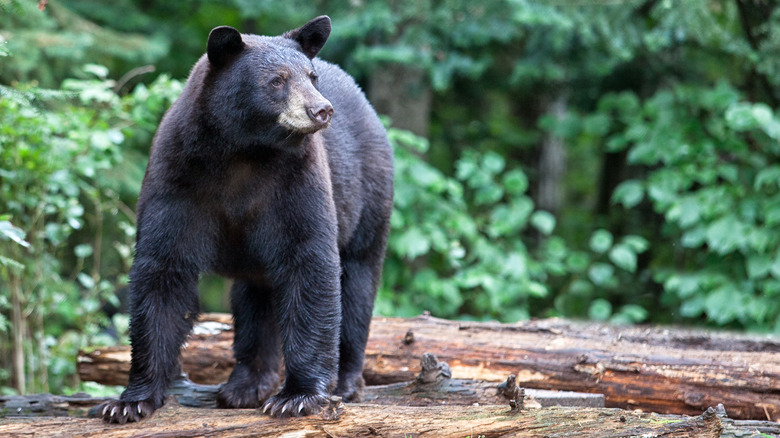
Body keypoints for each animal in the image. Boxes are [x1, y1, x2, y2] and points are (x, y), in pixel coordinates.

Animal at [102, 15, 396, 422]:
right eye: (276, 80)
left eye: (312, 76)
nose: (321, 110)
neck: (244, 152)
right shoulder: (177, 178)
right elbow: (162, 270)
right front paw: (130, 401)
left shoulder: (296, 182)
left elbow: (310, 262)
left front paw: (299, 396)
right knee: (255, 300)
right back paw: (246, 385)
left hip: (368, 196)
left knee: (357, 281)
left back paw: (346, 381)